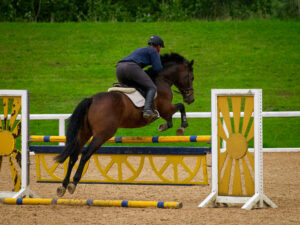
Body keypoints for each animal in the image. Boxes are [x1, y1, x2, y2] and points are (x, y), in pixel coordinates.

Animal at [55, 52, 196, 197]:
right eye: (191, 77)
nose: (191, 99)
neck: (162, 79)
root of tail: (92, 100)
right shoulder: (166, 108)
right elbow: (180, 106)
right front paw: (182, 126)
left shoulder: (165, 110)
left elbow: (173, 114)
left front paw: (164, 126)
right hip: (102, 135)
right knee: (85, 154)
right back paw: (73, 183)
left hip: (84, 133)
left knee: (73, 155)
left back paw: (63, 186)